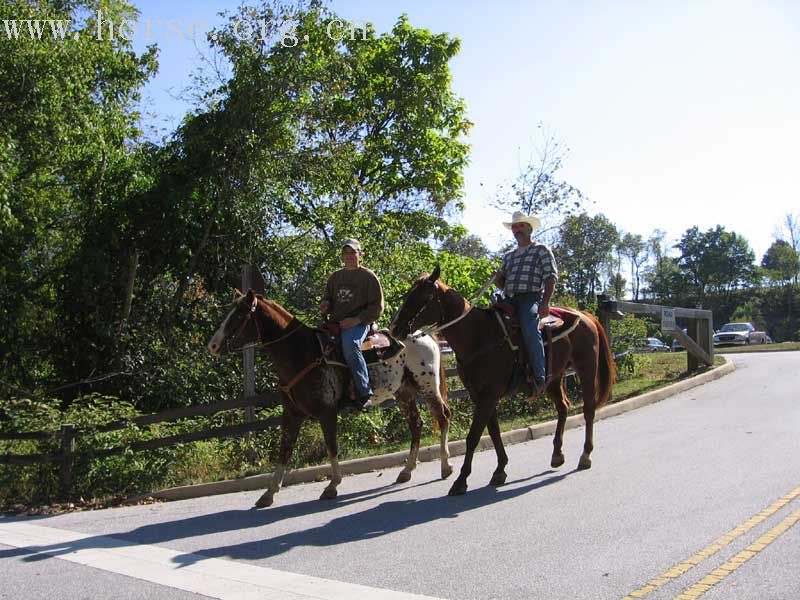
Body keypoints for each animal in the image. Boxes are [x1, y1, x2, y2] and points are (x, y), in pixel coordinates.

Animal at [209, 290, 454, 506]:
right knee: (416, 424)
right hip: (404, 392)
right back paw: (406, 471)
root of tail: (425, 335)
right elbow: (285, 451)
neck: (302, 353)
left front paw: (332, 486)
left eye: (239, 315)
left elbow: (331, 446)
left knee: (443, 417)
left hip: (427, 387)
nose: (213, 345)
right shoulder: (292, 415)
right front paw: (268, 494)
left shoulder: (326, 412)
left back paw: (445, 467)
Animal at [390, 268, 616, 496]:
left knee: (588, 410)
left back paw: (585, 455)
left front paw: (461, 481)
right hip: (554, 378)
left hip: (587, 370)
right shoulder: (480, 395)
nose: (395, 328)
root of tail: (585, 315)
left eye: (424, 297)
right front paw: (499, 470)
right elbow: (493, 431)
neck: (478, 336)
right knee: (563, 407)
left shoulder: (489, 395)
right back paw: (557, 455)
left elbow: (473, 436)